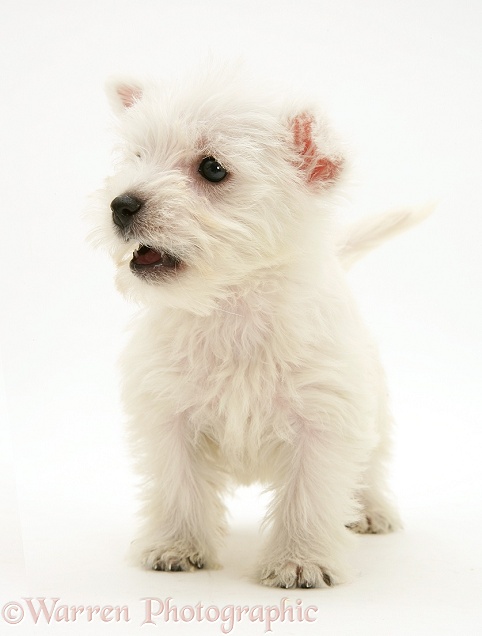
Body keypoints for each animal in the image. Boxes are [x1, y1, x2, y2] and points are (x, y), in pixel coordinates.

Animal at [92, 67, 420, 588]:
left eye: (212, 168)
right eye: (137, 157)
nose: (120, 204)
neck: (233, 307)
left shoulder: (324, 421)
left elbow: (309, 495)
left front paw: (300, 562)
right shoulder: (168, 415)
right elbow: (179, 485)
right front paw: (176, 547)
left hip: (375, 411)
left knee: (371, 464)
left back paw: (371, 511)